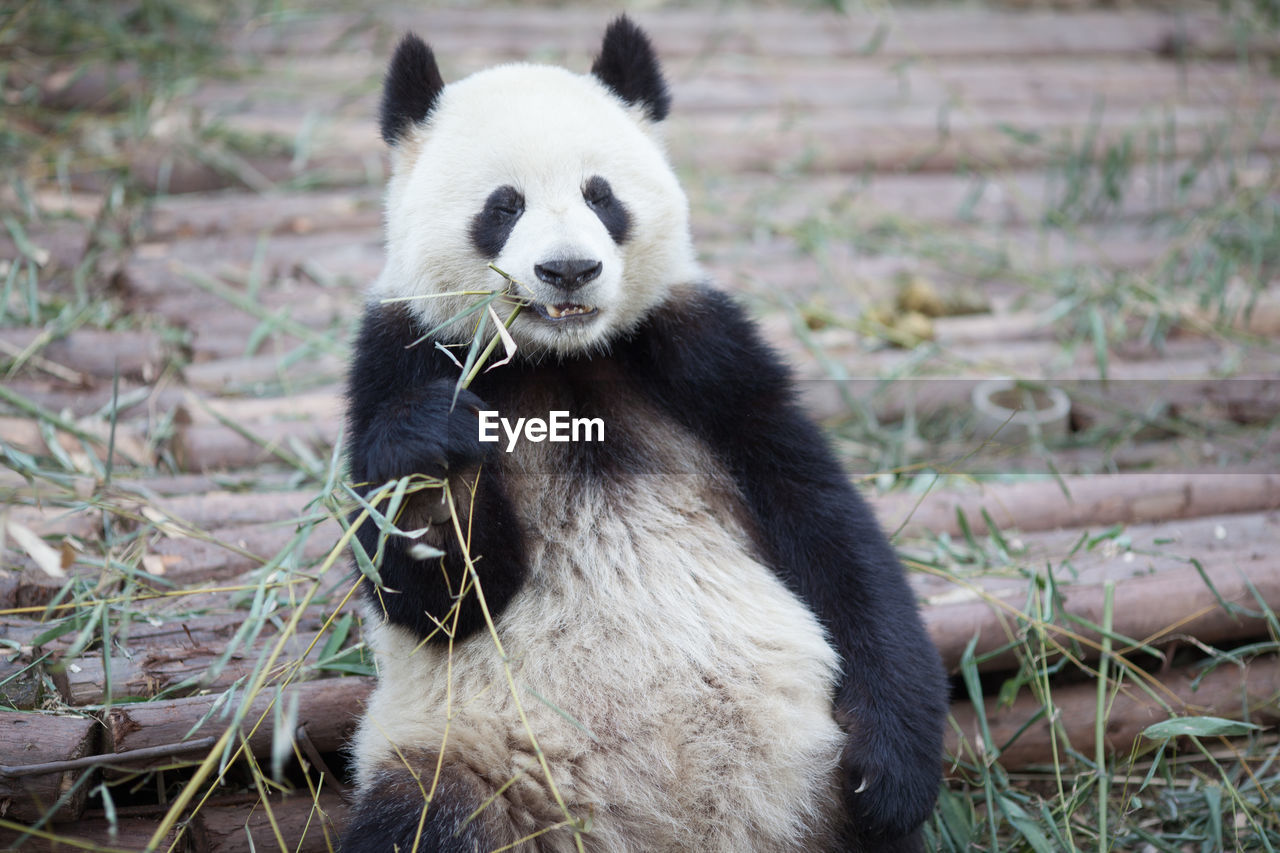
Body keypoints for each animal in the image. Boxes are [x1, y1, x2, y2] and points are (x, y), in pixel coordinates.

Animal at [345, 14, 947, 850]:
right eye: (504, 205)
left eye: (602, 196)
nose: (569, 269)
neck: (560, 357)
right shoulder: (397, 356)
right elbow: (439, 597)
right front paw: (434, 448)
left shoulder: (699, 353)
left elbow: (826, 526)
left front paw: (891, 770)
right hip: (466, 758)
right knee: (421, 816)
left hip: (811, 792)